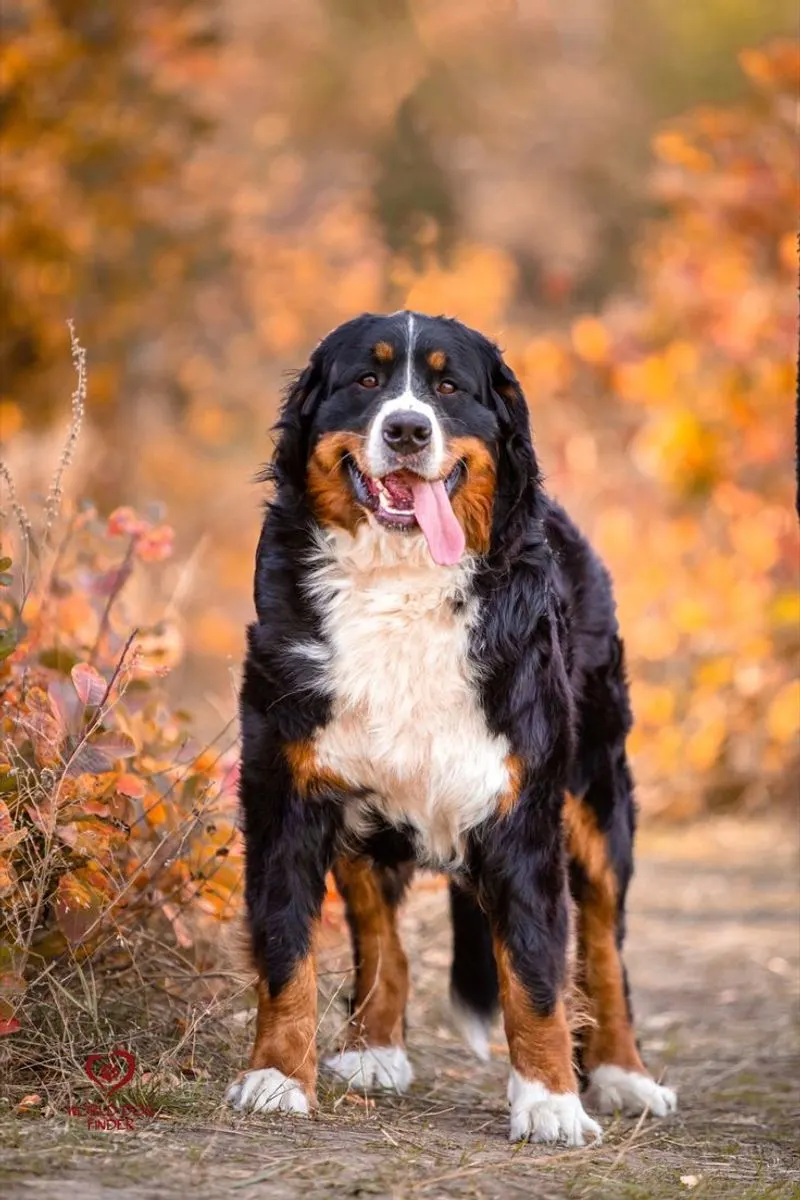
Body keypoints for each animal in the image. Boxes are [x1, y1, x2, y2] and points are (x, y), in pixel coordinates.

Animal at [225, 309, 676, 1142]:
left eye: (448, 388)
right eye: (367, 380)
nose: (406, 429)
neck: (403, 585)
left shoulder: (523, 811)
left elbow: (535, 971)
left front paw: (550, 1100)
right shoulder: (287, 791)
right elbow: (285, 947)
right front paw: (276, 1075)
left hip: (597, 801)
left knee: (604, 950)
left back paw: (624, 1075)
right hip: (365, 815)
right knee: (382, 940)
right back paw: (374, 1049)